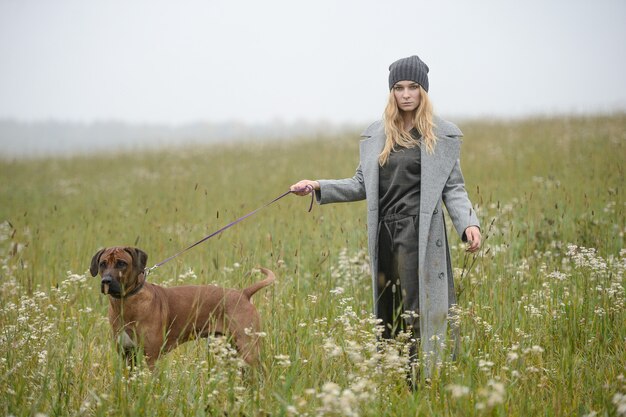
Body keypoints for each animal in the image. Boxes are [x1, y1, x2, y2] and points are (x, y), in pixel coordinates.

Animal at [89, 245, 274, 366]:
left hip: (248, 347)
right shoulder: (127, 356)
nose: (106, 281)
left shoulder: (151, 357)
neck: (126, 302)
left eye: (121, 263)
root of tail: (243, 293)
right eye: (102, 263)